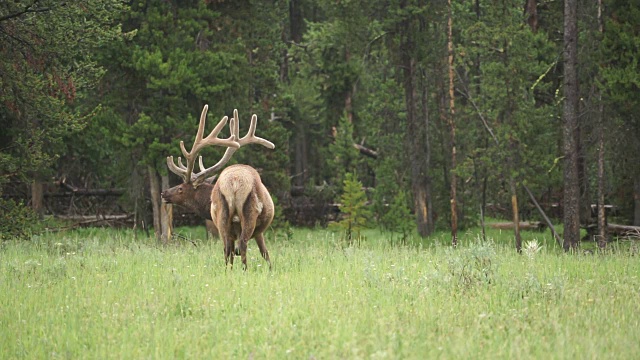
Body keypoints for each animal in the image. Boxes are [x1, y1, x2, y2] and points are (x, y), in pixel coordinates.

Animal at [161, 105, 274, 268]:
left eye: (181, 188)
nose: (164, 193)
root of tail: (234, 182)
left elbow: (263, 253)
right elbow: (264, 253)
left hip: (226, 218)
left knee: (232, 247)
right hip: (241, 216)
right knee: (238, 246)